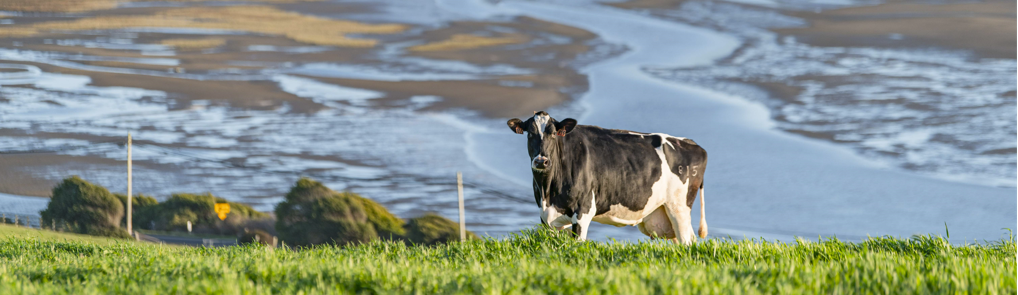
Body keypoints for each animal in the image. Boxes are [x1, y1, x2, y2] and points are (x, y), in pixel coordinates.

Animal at [506, 110, 708, 244]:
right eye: (530, 134)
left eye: (554, 133)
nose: (542, 161)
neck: (548, 191)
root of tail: (691, 143)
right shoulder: (546, 218)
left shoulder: (583, 210)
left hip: (679, 207)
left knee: (687, 241)